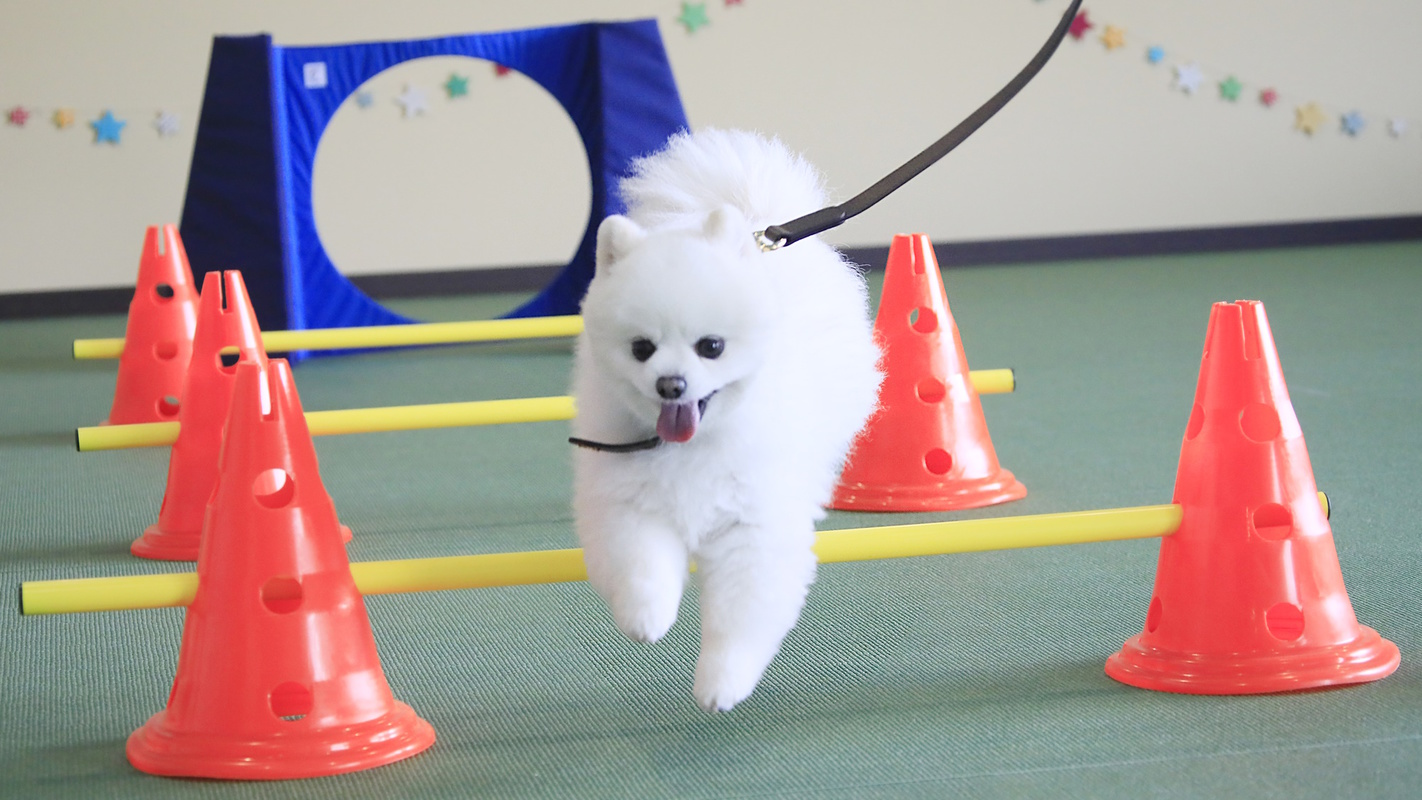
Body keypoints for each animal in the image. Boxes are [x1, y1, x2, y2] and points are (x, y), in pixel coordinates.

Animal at [571, 131, 881, 713]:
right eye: (641, 348)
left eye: (710, 347)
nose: (671, 384)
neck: (693, 446)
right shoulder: (630, 501)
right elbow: (641, 565)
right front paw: (647, 618)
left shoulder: (753, 528)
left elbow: (739, 620)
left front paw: (721, 683)